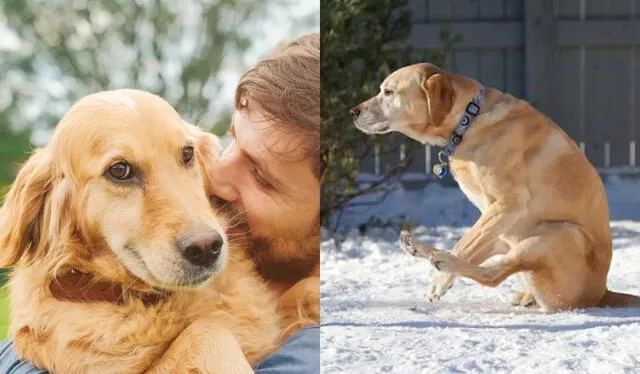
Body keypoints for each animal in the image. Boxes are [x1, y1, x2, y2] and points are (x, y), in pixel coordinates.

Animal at [350, 62, 640, 312]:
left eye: (388, 92)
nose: (352, 112)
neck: (467, 120)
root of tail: (601, 294)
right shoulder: (493, 214)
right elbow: (469, 244)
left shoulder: (507, 204)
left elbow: (465, 245)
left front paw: (440, 282)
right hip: (511, 235)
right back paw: (421, 248)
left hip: (559, 234)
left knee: (493, 274)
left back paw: (443, 261)